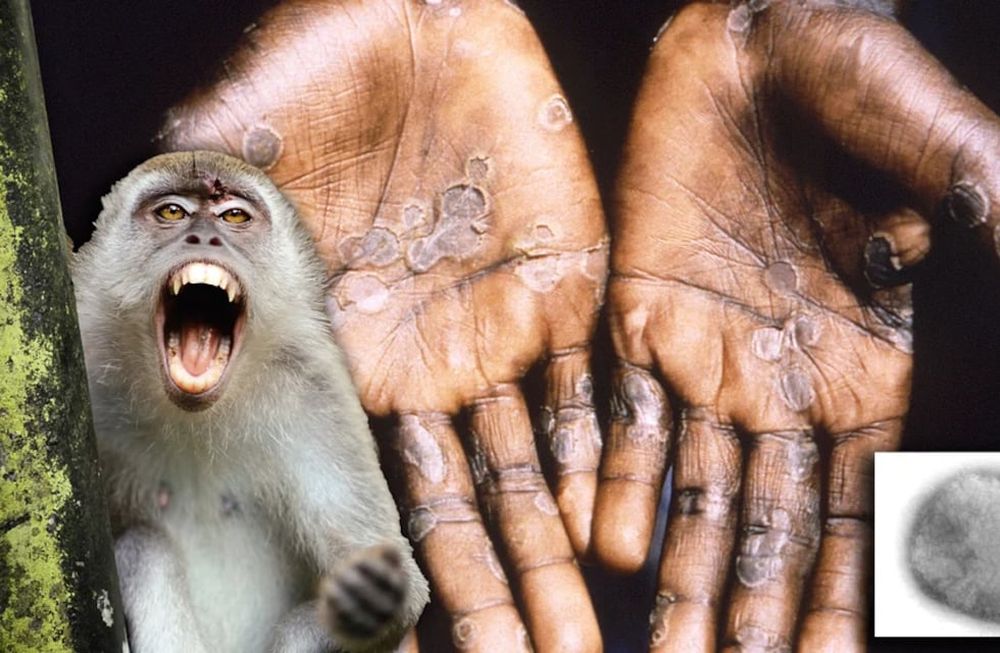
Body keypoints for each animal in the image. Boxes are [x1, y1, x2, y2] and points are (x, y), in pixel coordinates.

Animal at [70, 151, 429, 653]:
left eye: (235, 216)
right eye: (172, 212)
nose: (205, 237)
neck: (192, 416)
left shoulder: (316, 398)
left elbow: (399, 590)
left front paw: (371, 598)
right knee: (145, 546)